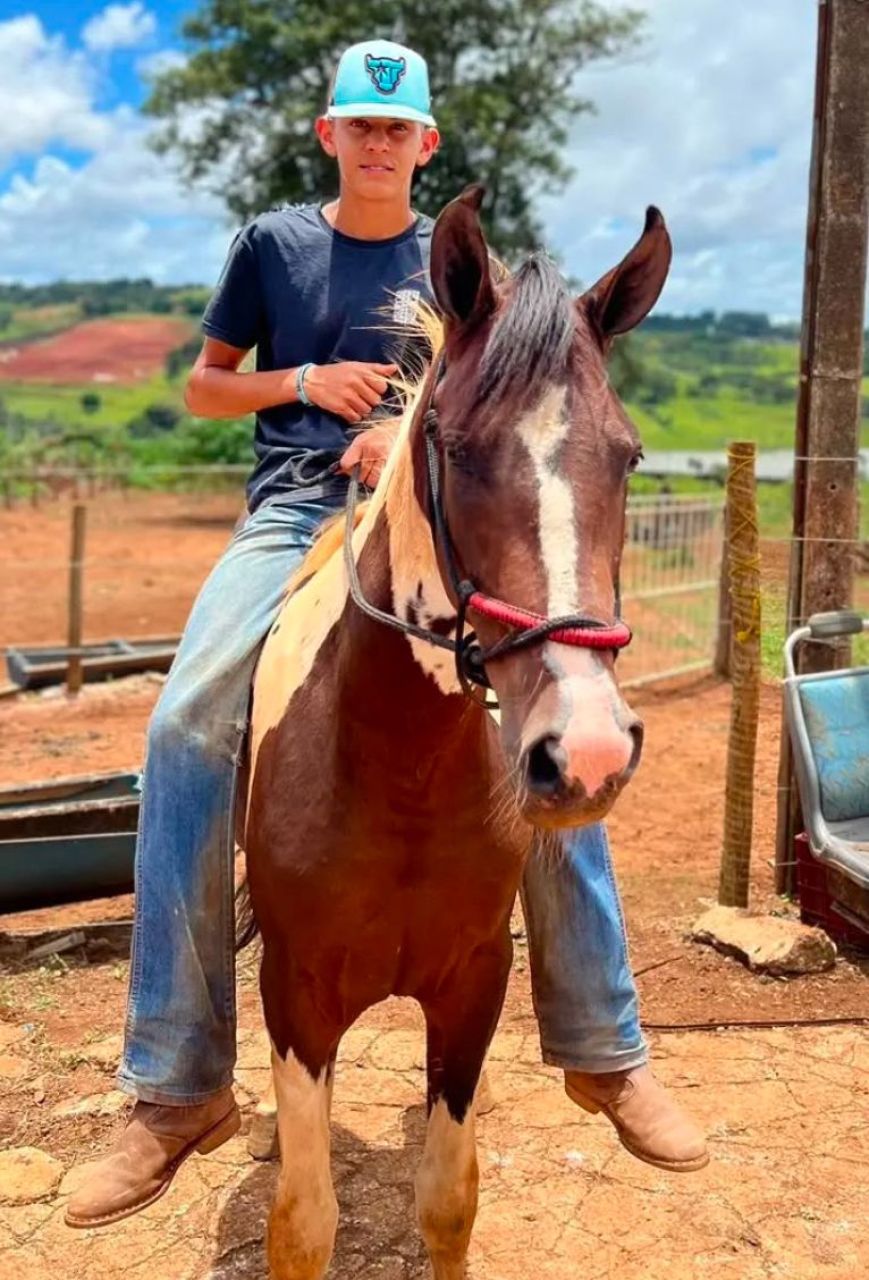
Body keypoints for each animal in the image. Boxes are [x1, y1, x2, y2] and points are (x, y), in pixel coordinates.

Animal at [243, 183, 670, 1280]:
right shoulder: (298, 998)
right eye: (460, 447)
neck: (400, 771)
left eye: (627, 457)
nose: (586, 752)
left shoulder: (473, 985)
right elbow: (302, 1222)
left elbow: (447, 1200)